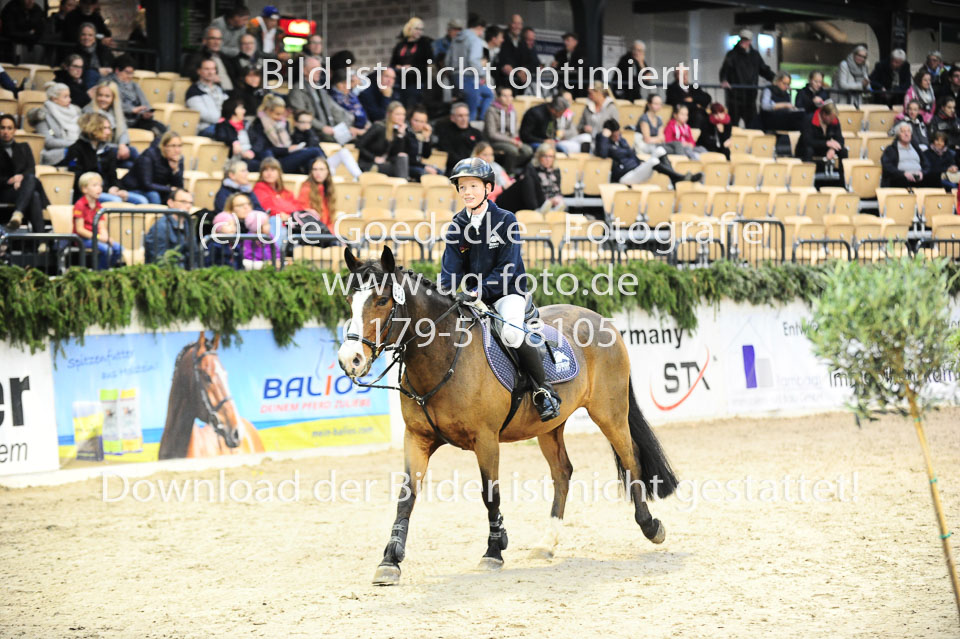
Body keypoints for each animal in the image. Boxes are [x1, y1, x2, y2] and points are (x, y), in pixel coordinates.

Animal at [337, 247, 679, 585]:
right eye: (349, 298)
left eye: (382, 300)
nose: (349, 359)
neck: (445, 354)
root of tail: (600, 320)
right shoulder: (417, 438)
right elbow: (406, 496)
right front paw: (390, 560)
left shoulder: (486, 440)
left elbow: (491, 494)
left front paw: (493, 550)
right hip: (550, 427)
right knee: (562, 472)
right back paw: (547, 543)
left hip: (609, 412)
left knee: (631, 458)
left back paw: (651, 526)